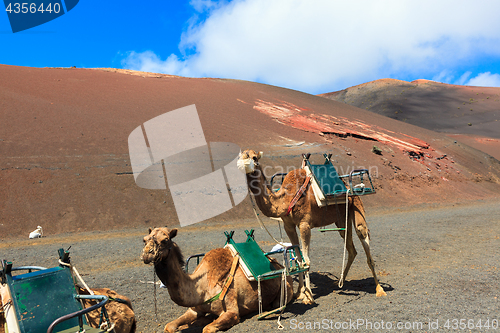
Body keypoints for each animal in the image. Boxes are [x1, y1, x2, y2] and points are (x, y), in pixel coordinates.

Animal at [141, 226, 292, 332]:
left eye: (165, 240)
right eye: (144, 239)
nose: (146, 254)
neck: (203, 288)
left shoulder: (232, 311)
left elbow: (208, 329)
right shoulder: (194, 309)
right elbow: (169, 326)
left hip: (284, 289)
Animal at [238, 150, 386, 304]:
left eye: (254, 157)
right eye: (241, 155)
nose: (240, 164)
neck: (286, 198)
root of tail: (348, 186)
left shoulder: (305, 224)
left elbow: (306, 260)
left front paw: (309, 296)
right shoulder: (288, 226)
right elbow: (298, 259)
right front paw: (299, 293)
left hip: (357, 206)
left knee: (363, 237)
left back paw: (379, 289)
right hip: (342, 219)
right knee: (351, 249)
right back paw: (339, 282)